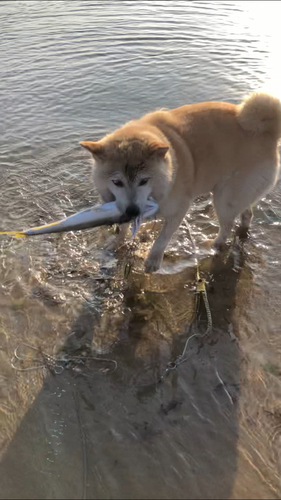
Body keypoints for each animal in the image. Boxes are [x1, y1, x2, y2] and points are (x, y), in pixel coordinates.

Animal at [80, 94, 280, 274]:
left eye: (144, 181)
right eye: (116, 182)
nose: (133, 211)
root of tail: (267, 132)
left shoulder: (180, 209)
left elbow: (163, 238)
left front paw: (153, 260)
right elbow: (123, 228)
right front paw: (117, 242)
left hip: (225, 198)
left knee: (227, 225)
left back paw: (214, 245)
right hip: (239, 195)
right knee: (247, 214)